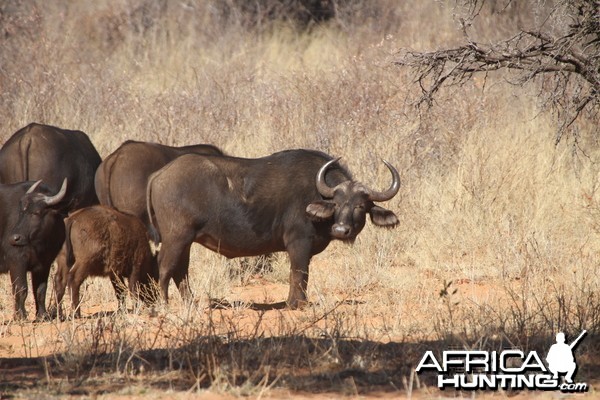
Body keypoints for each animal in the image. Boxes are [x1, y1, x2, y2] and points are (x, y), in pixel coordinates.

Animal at [0, 181, 66, 318]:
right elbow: (21, 288)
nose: (14, 238)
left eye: (36, 212)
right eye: (20, 213)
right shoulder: (16, 261)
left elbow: (40, 290)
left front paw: (42, 315)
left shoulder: (44, 264)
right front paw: (20, 315)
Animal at [146, 148, 400, 308]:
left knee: (181, 271)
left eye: (360, 206)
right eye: (336, 204)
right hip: (176, 238)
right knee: (165, 267)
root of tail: (160, 174)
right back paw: (165, 305)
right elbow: (299, 273)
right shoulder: (299, 243)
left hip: (186, 241)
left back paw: (190, 303)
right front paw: (297, 304)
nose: (341, 230)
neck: (315, 193)